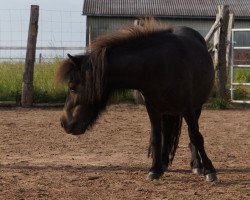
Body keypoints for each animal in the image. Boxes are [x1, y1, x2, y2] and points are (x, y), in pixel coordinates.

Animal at [56, 18, 217, 181]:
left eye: (72, 87)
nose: (64, 122)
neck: (160, 65)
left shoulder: (188, 108)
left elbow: (196, 136)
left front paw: (209, 170)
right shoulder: (152, 108)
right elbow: (156, 137)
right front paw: (155, 169)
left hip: (195, 108)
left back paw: (197, 165)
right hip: (167, 111)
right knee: (166, 133)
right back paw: (164, 162)